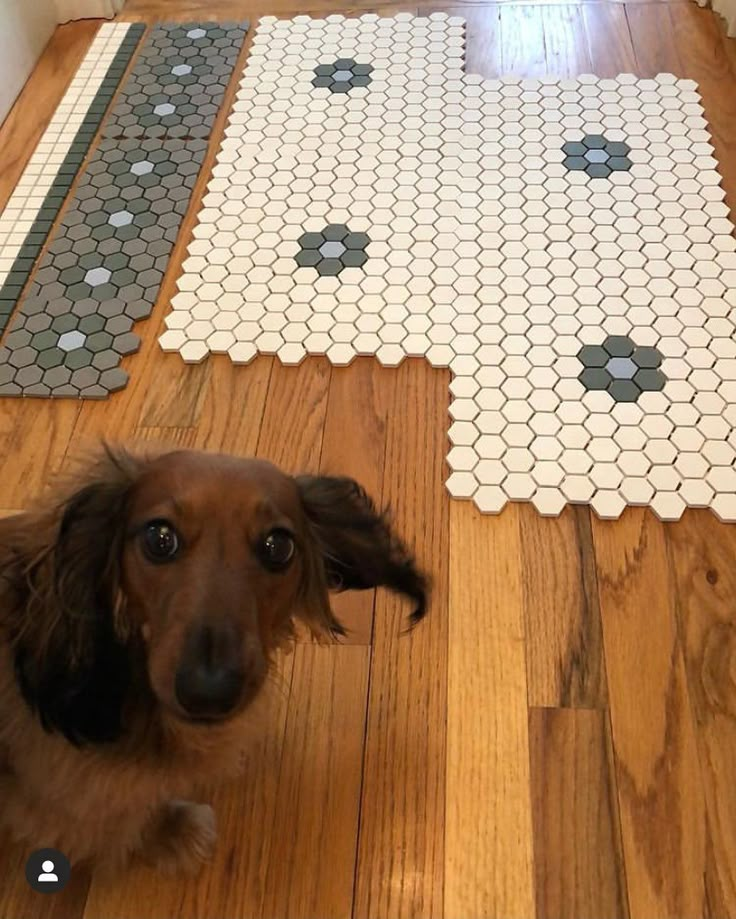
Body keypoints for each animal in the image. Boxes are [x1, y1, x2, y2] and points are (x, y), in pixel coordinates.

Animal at [0, 446, 426, 876]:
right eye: (159, 538)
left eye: (278, 546)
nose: (208, 693)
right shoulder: (59, 795)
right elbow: (119, 817)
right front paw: (170, 832)